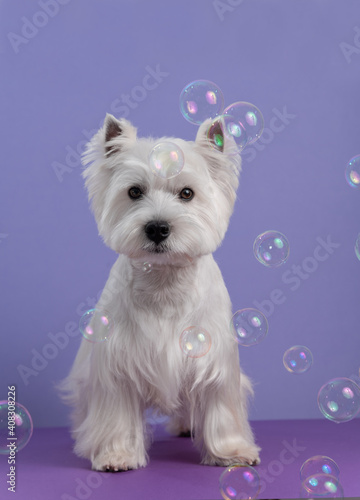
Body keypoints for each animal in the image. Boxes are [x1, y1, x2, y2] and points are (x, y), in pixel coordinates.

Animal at [60, 114, 260, 472]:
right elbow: (117, 415)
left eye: (187, 193)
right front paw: (116, 455)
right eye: (134, 191)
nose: (157, 227)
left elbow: (222, 410)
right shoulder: (116, 368)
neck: (164, 281)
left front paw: (232, 452)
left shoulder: (214, 361)